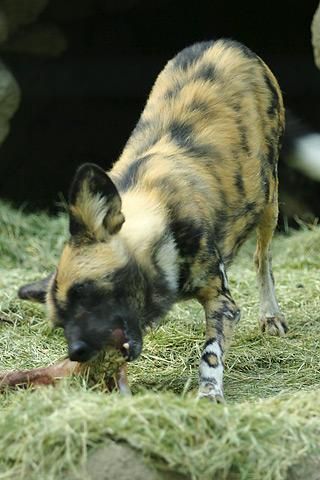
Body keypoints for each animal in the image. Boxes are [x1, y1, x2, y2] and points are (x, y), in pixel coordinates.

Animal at [25, 39, 286, 402]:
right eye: (60, 323)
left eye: (86, 294)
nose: (76, 352)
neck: (160, 215)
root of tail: (223, 42)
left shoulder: (222, 302)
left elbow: (210, 352)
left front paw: (209, 393)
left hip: (268, 201)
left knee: (263, 258)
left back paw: (271, 315)